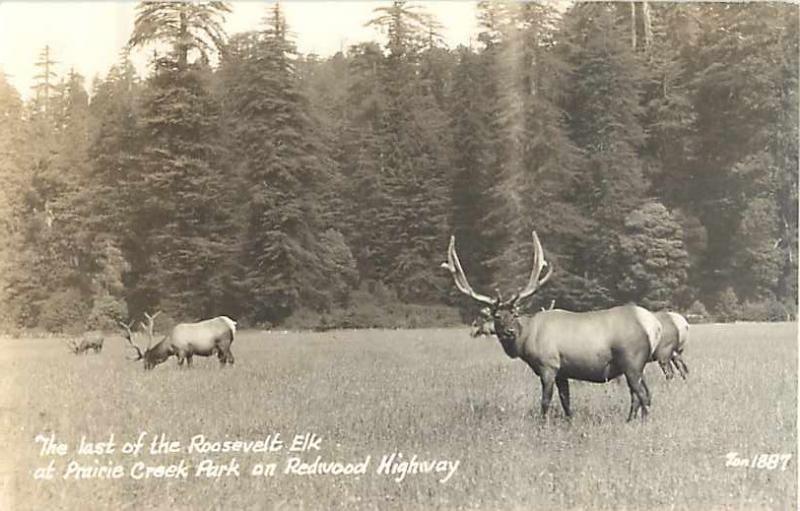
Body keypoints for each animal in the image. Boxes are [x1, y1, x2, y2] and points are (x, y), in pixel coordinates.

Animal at [440, 230, 660, 422]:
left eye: (515, 314)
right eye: (497, 316)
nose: (510, 332)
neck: (527, 338)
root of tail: (653, 327)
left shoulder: (548, 365)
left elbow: (545, 402)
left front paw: (542, 426)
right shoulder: (563, 371)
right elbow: (566, 403)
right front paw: (569, 423)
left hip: (631, 361)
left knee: (643, 396)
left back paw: (642, 423)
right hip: (635, 366)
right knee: (641, 395)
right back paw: (630, 421)